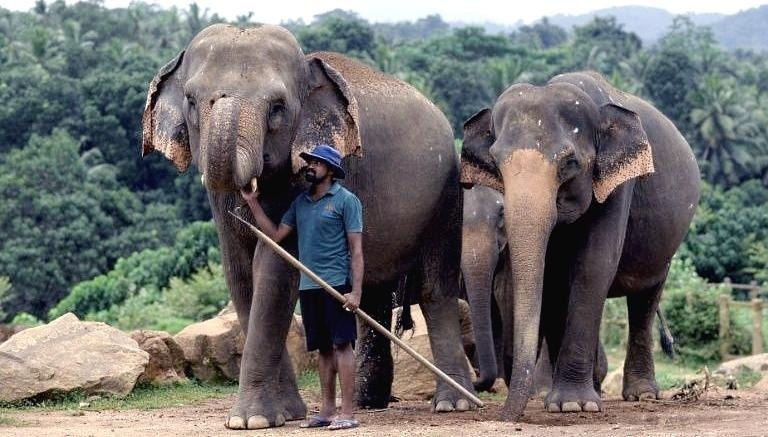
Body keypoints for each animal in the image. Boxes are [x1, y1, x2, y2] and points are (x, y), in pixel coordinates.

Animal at [141, 23, 473, 429]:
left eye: (277, 107)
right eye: (190, 101)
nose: (247, 188)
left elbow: (275, 270)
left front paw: (250, 420)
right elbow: (240, 274)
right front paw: (285, 414)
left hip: (446, 198)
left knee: (435, 290)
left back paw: (453, 404)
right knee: (372, 298)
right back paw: (367, 404)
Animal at [460, 70, 700, 421]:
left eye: (569, 163)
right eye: (495, 162)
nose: (504, 418)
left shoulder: (618, 187)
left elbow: (593, 265)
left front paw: (573, 404)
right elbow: (553, 278)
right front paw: (558, 401)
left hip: (666, 245)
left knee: (645, 298)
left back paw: (642, 395)